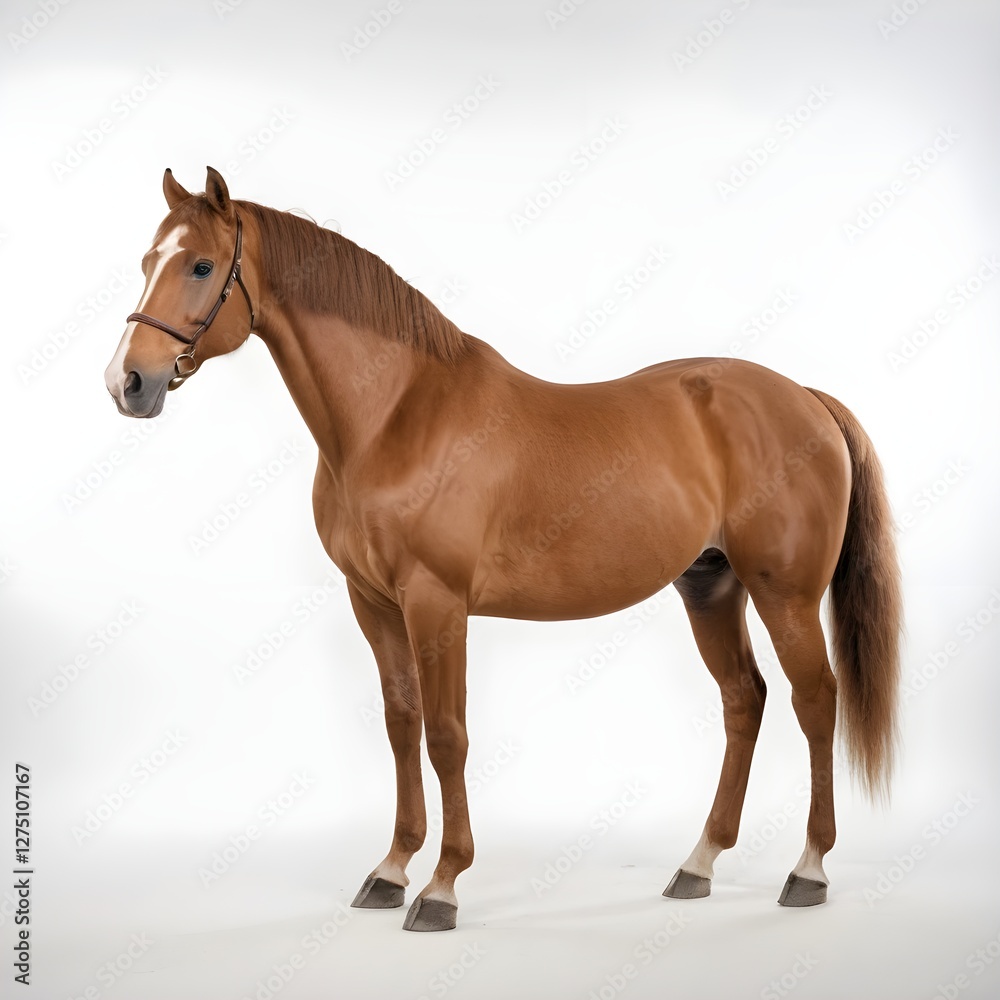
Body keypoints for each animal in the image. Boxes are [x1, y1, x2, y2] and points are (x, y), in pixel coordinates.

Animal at [105, 166, 902, 932]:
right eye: (147, 260)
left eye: (202, 265)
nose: (128, 381)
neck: (395, 417)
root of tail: (804, 397)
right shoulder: (373, 603)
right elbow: (402, 726)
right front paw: (390, 871)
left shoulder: (437, 603)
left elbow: (446, 736)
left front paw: (441, 887)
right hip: (710, 587)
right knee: (745, 699)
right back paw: (698, 863)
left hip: (784, 595)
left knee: (814, 701)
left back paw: (808, 870)